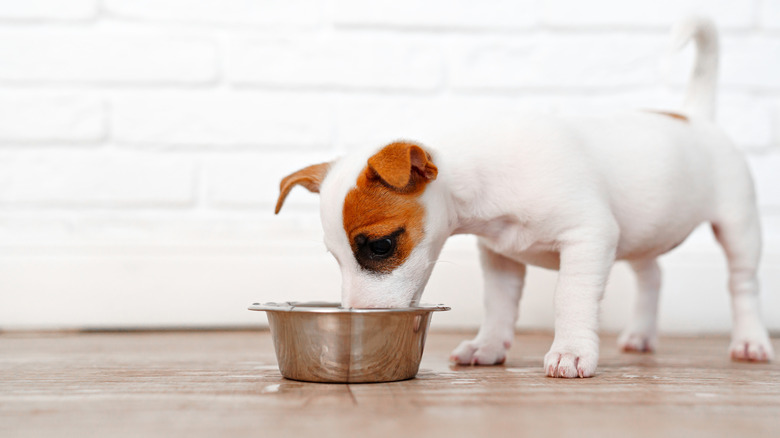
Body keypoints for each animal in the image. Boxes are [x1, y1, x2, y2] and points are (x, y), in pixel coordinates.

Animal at [274, 18, 772, 378]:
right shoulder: (500, 258)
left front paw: (571, 351)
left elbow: (571, 298)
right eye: (335, 257)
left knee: (742, 284)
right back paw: (641, 335)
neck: (485, 177)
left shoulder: (589, 237)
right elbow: (498, 306)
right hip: (643, 230)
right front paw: (488, 346)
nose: (355, 313)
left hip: (737, 225)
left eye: (380, 246)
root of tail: (693, 116)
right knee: (652, 276)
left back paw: (750, 340)